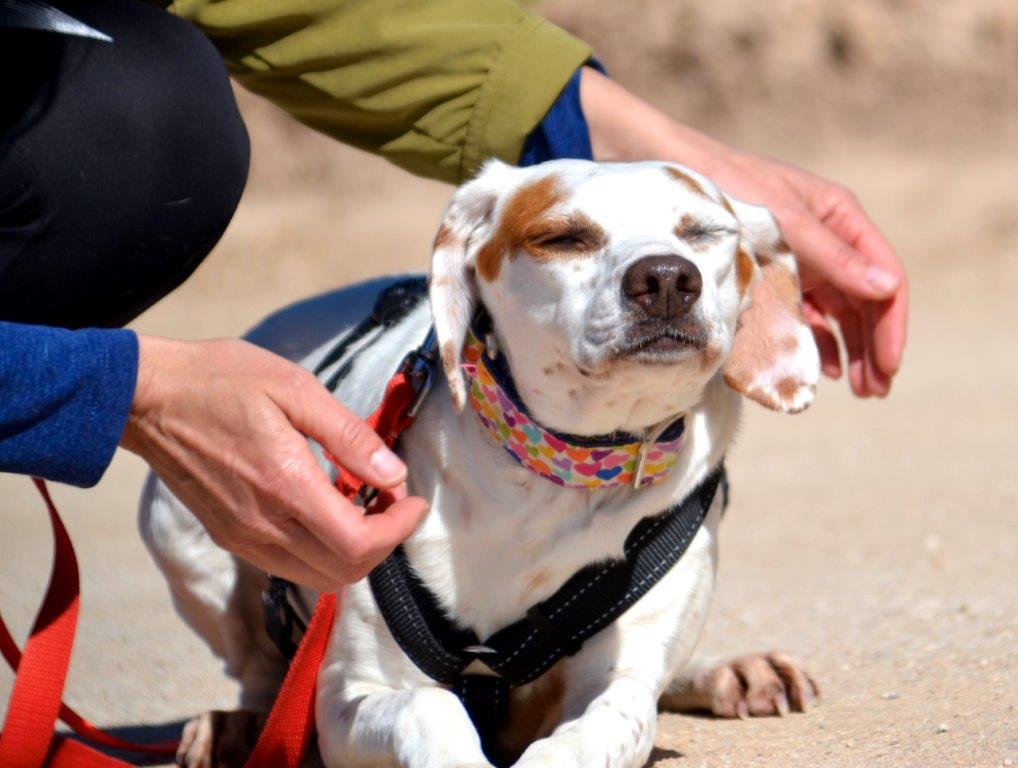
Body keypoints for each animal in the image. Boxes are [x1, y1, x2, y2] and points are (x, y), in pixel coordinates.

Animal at [143, 156, 822, 765]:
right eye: (563, 237)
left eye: (703, 232)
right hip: (182, 527)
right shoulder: (351, 694)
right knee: (262, 673)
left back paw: (735, 671)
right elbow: (429, 708)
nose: (666, 279)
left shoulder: (618, 684)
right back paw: (236, 727)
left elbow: (591, 735)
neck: (556, 474)